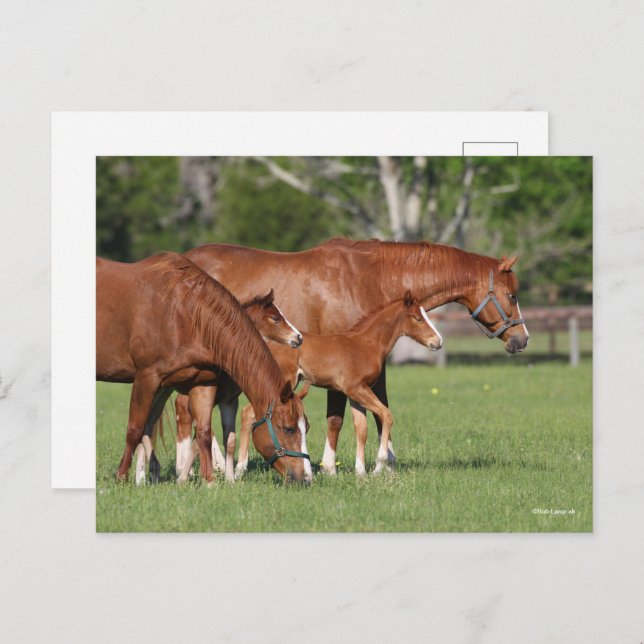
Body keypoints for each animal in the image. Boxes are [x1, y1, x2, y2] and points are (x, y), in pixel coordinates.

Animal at [96, 252, 312, 484]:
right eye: (289, 429)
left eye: (307, 427)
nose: (306, 477)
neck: (183, 313)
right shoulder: (146, 378)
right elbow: (134, 430)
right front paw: (122, 477)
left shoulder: (206, 384)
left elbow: (206, 433)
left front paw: (212, 480)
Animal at [232, 291, 442, 477]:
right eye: (418, 318)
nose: (438, 342)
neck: (366, 344)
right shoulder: (356, 388)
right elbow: (386, 415)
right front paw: (379, 465)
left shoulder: (355, 393)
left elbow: (361, 428)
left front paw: (361, 472)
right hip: (284, 383)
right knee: (248, 413)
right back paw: (240, 468)